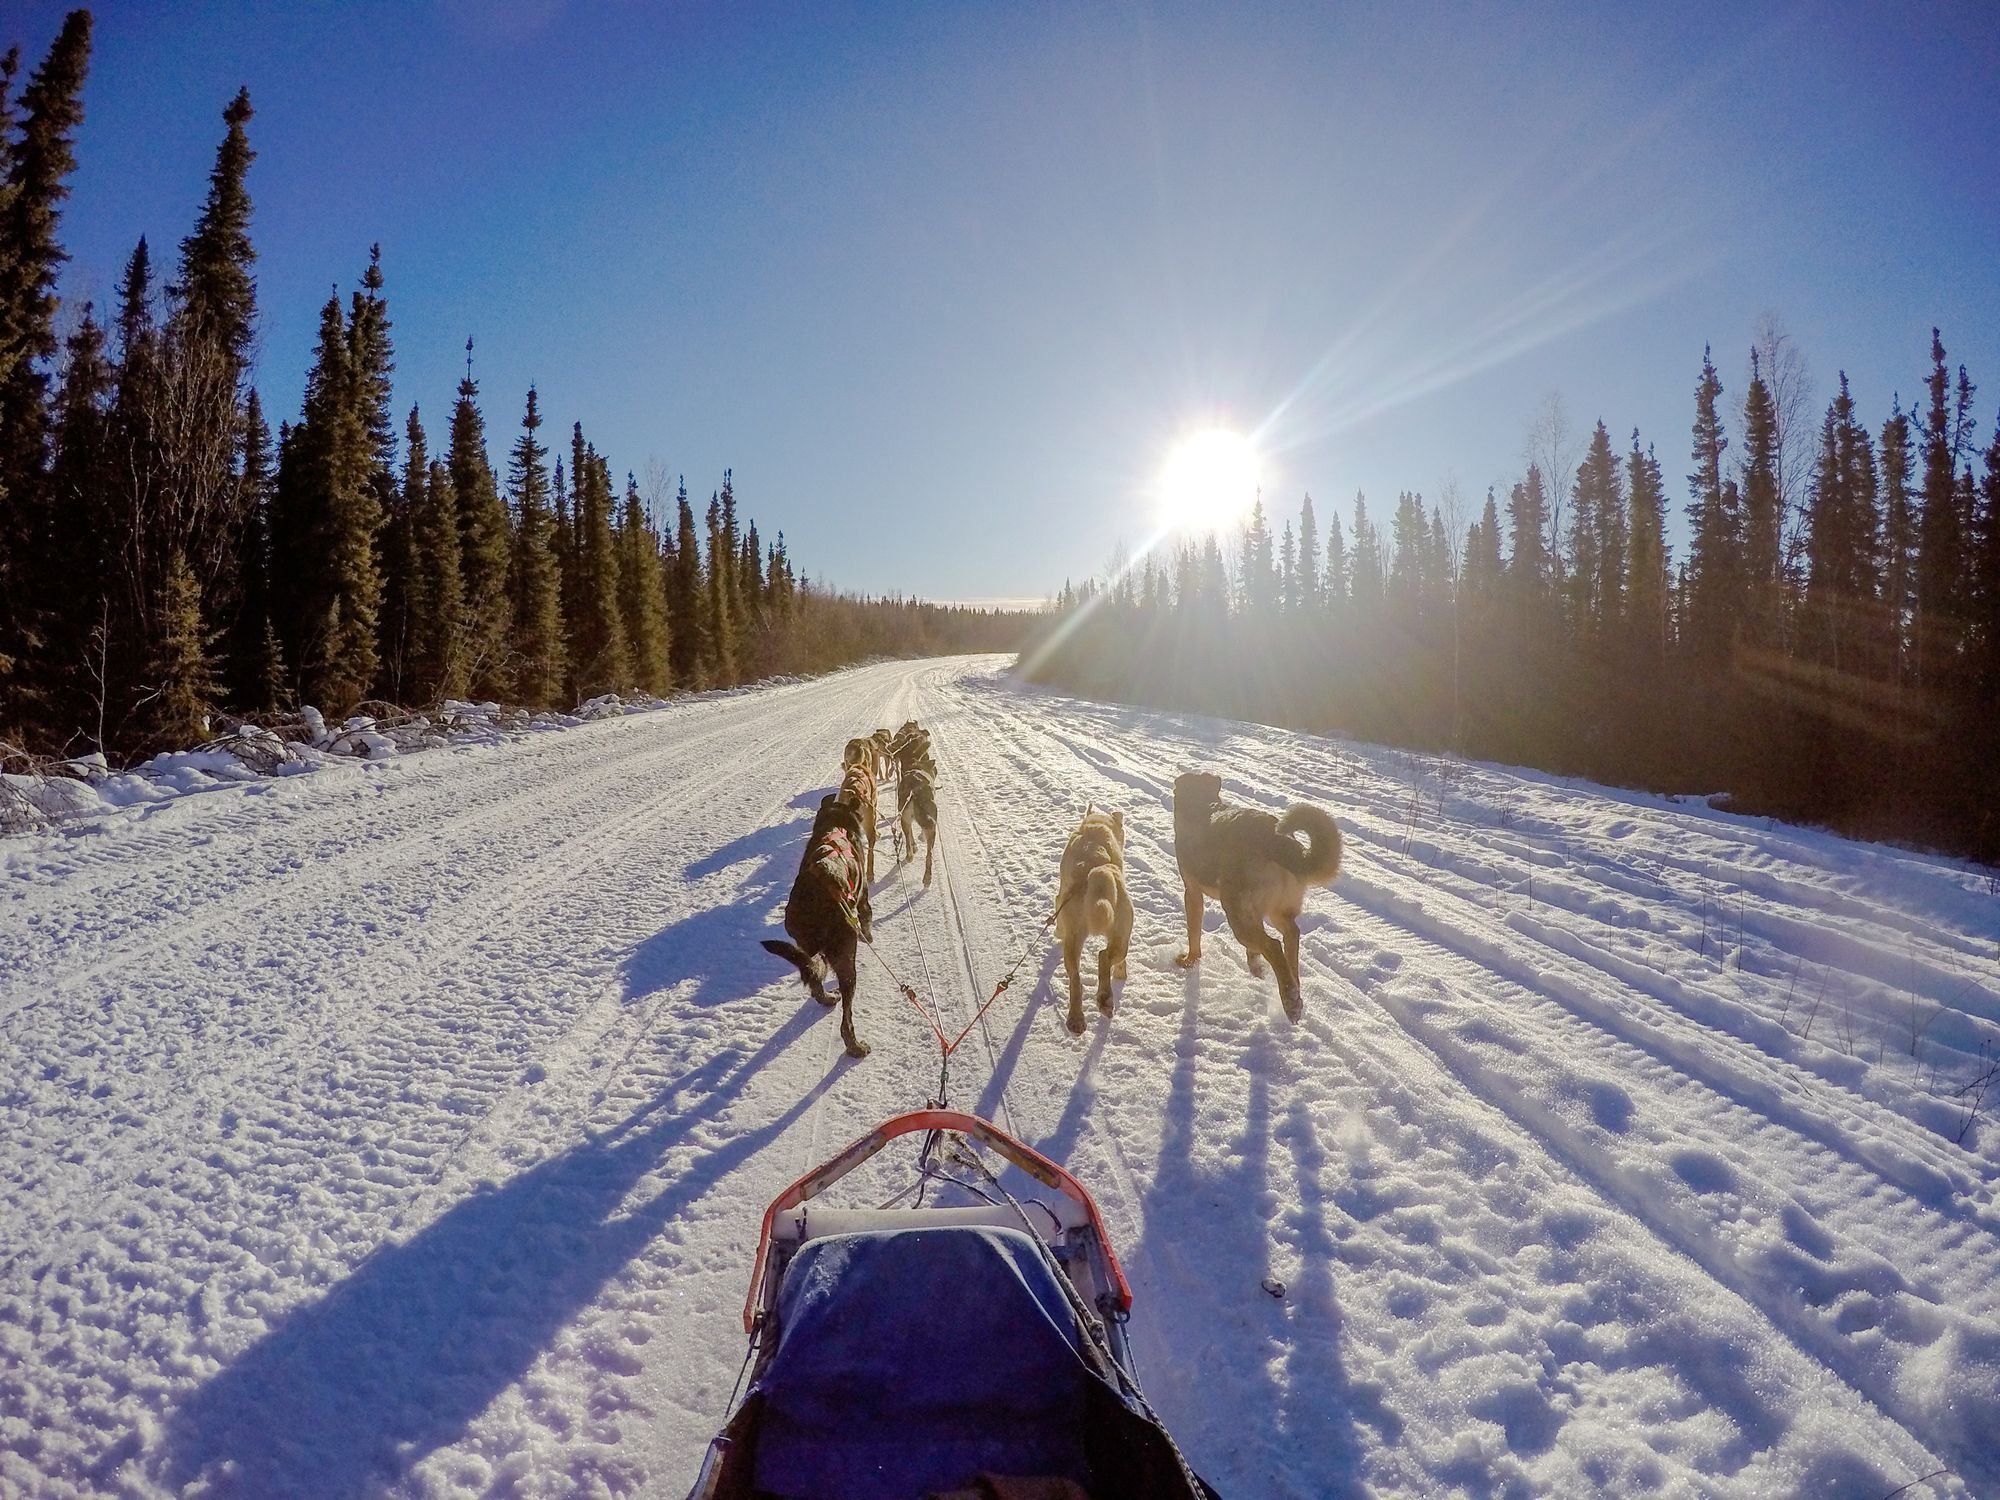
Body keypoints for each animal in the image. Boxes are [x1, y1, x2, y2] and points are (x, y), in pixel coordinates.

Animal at [760, 800, 872, 1056]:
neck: (836, 821)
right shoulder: (863, 899)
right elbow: (867, 918)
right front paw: (869, 935)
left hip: (804, 945)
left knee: (813, 982)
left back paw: (827, 997)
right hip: (845, 959)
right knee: (845, 1021)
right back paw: (855, 1046)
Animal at [1056, 812, 1136, 1032]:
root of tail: (1100, 870)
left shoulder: (1059, 898)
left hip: (1074, 937)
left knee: (1082, 973)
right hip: (1120, 935)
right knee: (1101, 959)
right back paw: (1098, 1004)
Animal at [1168, 768, 1344, 1032]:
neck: (1202, 804)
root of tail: (1274, 838)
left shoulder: (1192, 893)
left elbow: (1194, 934)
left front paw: (1190, 960)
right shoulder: (1256, 912)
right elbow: (1254, 950)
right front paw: (1255, 966)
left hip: (1235, 912)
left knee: (1273, 945)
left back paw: (1290, 1001)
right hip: (1277, 911)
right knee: (1291, 937)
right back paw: (1292, 989)